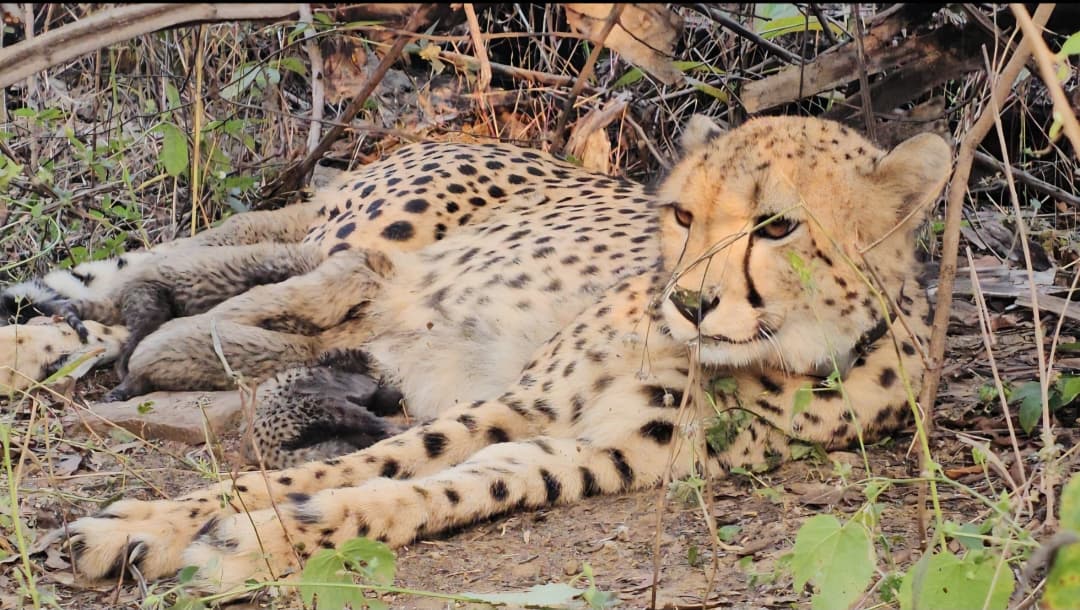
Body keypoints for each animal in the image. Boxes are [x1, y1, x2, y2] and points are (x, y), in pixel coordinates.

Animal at [5, 115, 952, 595]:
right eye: (684, 214)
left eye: (778, 225)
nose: (687, 303)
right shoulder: (524, 401)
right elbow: (347, 465)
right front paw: (151, 523)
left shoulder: (592, 452)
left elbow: (438, 489)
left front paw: (256, 540)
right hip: (365, 239)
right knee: (124, 304)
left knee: (133, 323)